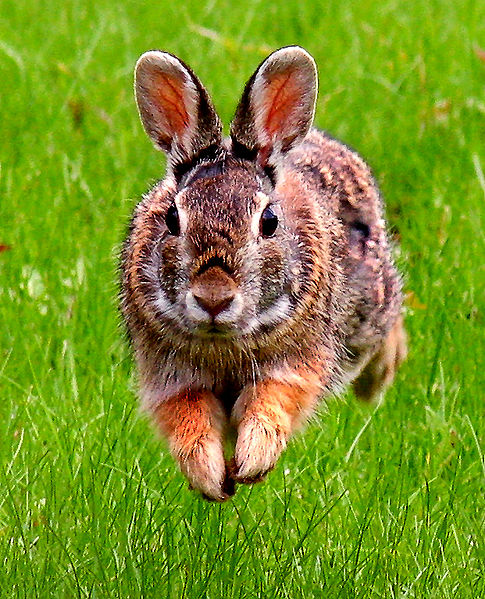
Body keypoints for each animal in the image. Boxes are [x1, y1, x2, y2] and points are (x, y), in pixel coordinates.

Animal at [120, 45, 404, 502]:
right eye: (172, 219)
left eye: (268, 221)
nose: (213, 297)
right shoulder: (169, 374)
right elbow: (188, 419)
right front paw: (211, 479)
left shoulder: (298, 361)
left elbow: (274, 401)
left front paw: (252, 461)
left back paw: (378, 380)